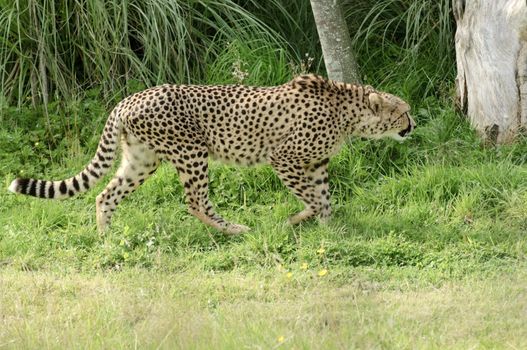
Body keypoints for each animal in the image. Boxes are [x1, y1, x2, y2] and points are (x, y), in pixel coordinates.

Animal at [6, 75, 414, 234]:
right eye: (403, 112)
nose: (412, 125)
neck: (349, 112)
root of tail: (130, 97)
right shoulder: (285, 159)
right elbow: (314, 199)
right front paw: (300, 222)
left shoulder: (315, 164)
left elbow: (324, 198)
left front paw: (331, 229)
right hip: (191, 152)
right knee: (195, 201)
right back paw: (234, 229)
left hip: (142, 159)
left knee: (106, 194)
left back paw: (106, 237)